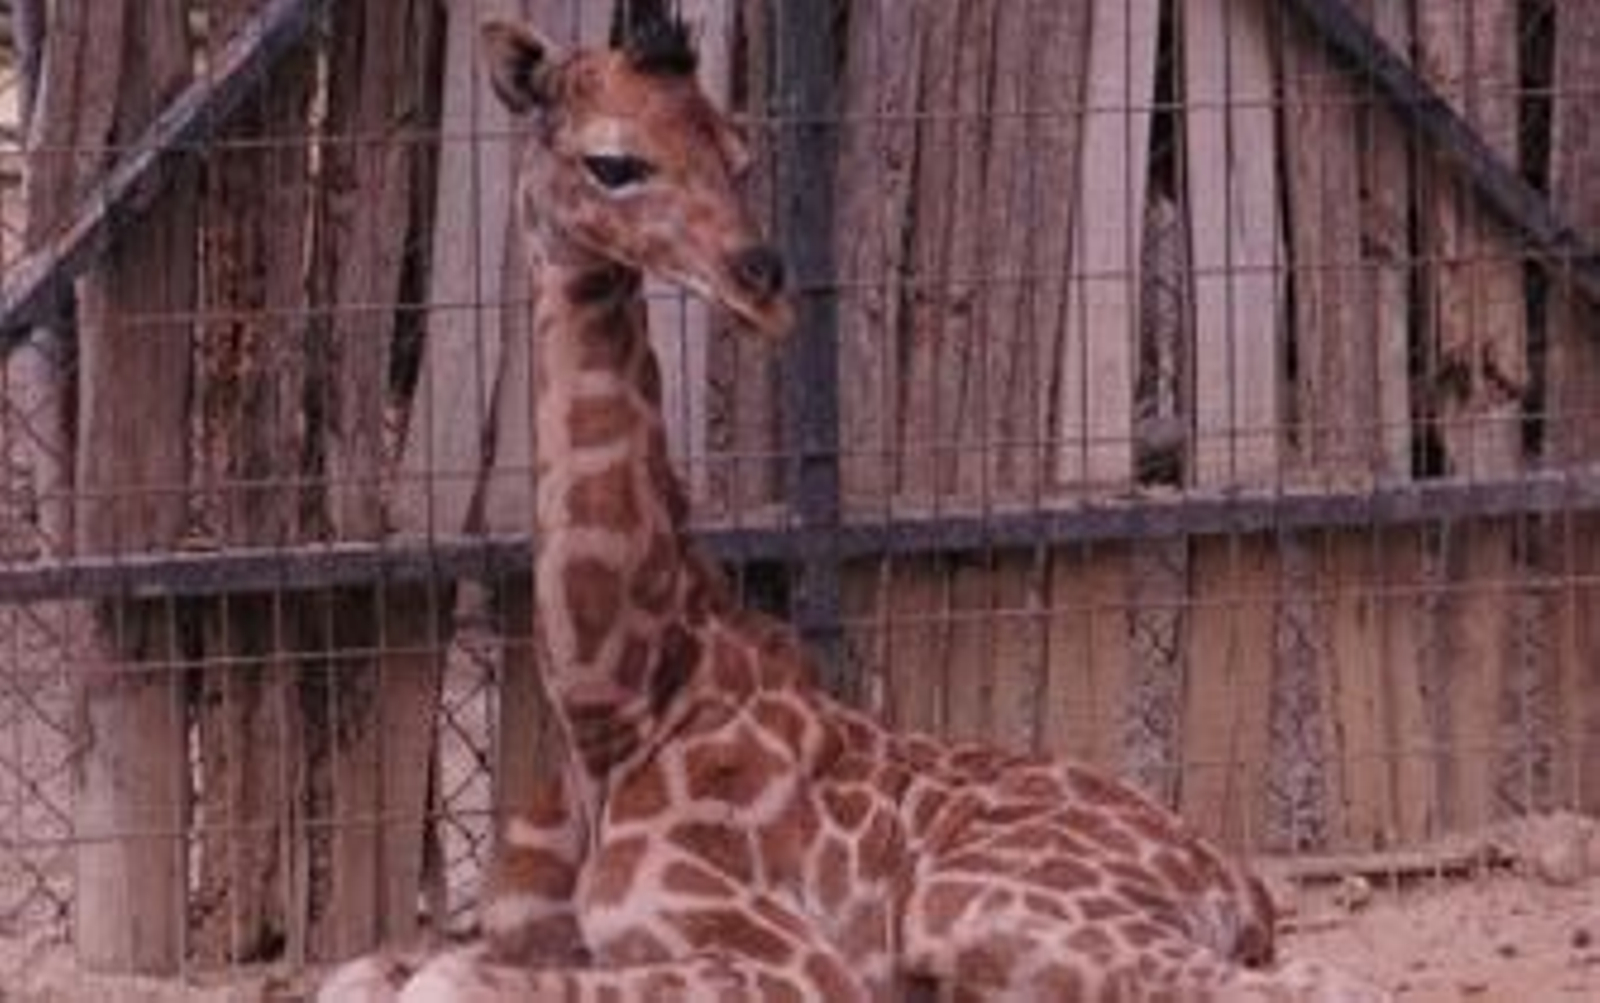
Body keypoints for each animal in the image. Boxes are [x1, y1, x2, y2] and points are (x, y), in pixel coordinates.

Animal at [323, 5, 1392, 1000]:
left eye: (738, 150)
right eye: (613, 164)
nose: (762, 276)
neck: (614, 708)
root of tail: (1241, 882)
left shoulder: (790, 961)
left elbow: (438, 979)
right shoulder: (519, 930)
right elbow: (364, 970)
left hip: (972, 901)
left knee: (1317, 980)